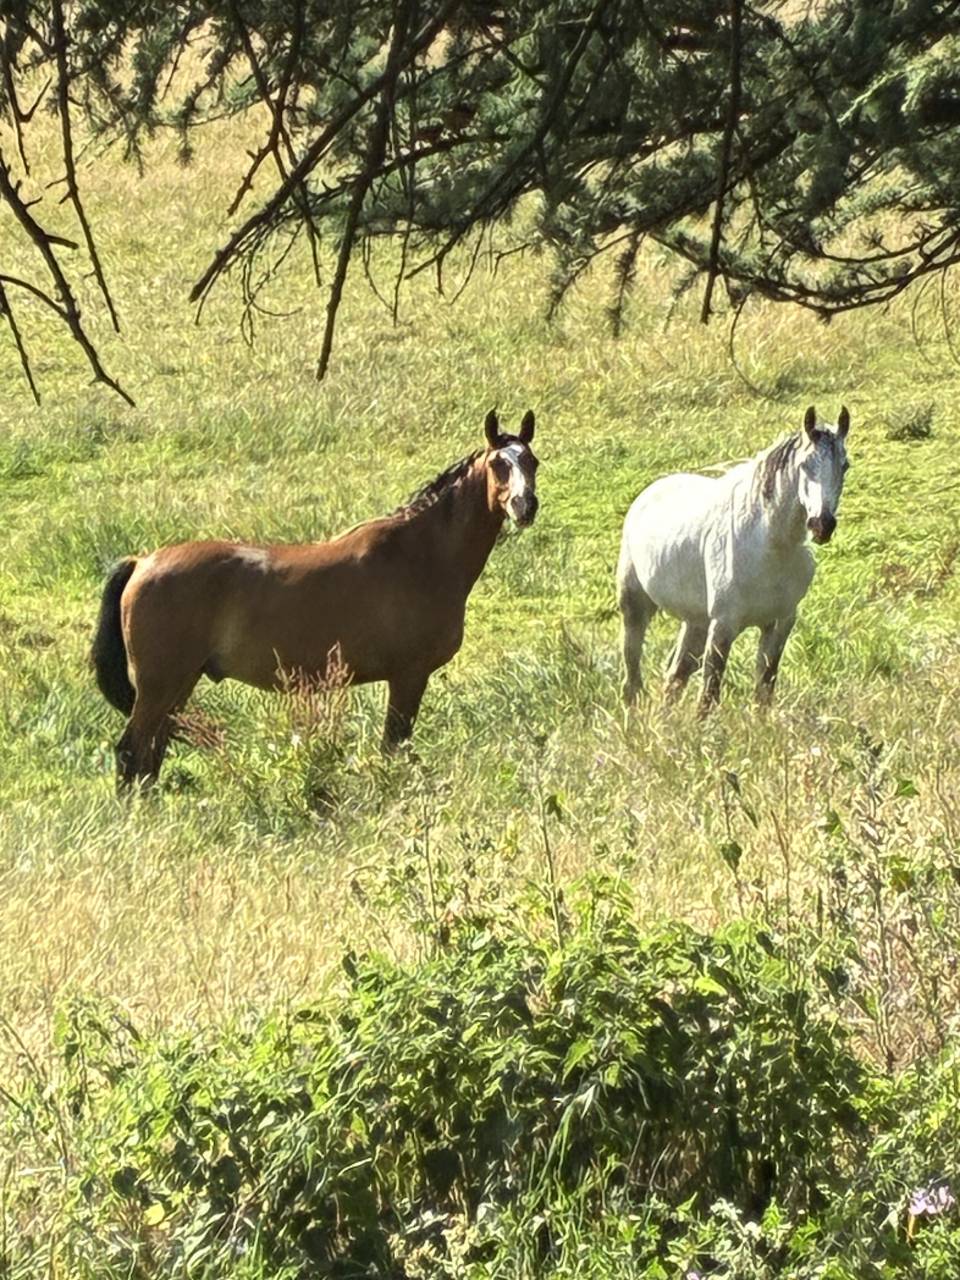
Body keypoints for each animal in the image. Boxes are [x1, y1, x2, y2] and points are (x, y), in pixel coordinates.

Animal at [92, 409, 539, 789]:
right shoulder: (409, 676)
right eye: (499, 464)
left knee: (152, 754)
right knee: (132, 751)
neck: (421, 553)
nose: (525, 506)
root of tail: (142, 562)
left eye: (533, 462)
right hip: (160, 686)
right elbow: (394, 747)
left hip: (179, 684)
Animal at [617, 405, 850, 716]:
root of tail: (648, 494)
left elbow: (763, 690)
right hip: (635, 606)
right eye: (804, 465)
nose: (821, 525)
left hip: (695, 621)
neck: (769, 547)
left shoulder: (779, 624)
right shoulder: (723, 625)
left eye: (845, 465)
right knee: (632, 673)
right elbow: (709, 693)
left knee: (675, 676)